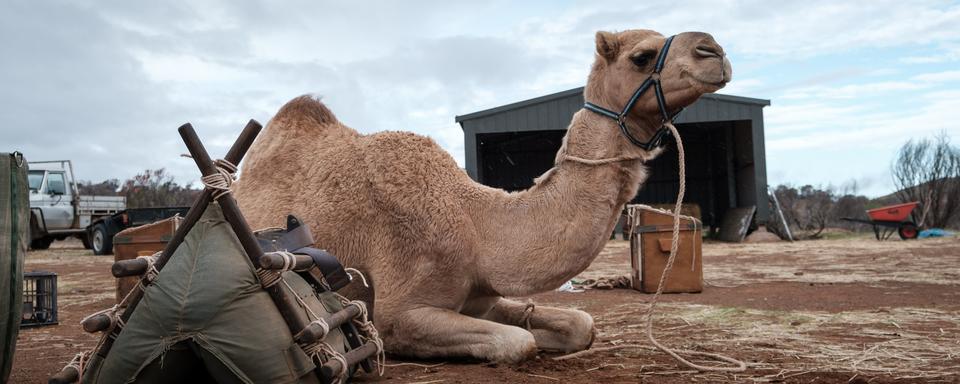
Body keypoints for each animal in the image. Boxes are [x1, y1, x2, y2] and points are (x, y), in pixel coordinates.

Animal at [236, 28, 732, 362]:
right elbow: (519, 344)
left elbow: (580, 324)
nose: (714, 50)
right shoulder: (396, 313)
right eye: (642, 57)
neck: (478, 224)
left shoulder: (484, 296)